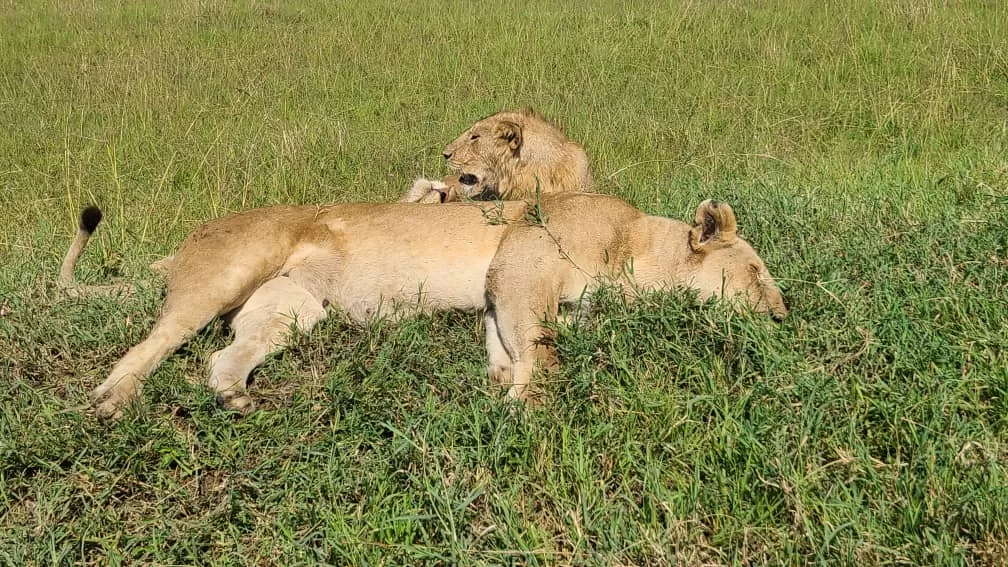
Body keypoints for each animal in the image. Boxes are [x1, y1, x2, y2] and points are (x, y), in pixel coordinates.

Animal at [65, 191, 786, 417]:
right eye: (755, 272)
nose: (782, 316)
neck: (637, 242)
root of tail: (184, 241)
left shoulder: (504, 287)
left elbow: (511, 343)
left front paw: (502, 388)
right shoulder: (525, 258)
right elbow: (545, 350)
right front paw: (528, 407)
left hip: (291, 307)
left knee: (221, 358)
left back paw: (237, 397)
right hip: (234, 265)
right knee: (153, 341)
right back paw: (113, 399)